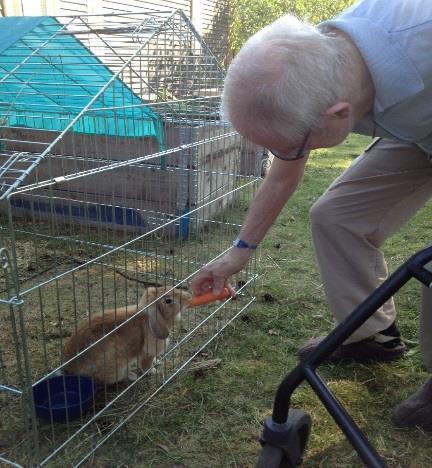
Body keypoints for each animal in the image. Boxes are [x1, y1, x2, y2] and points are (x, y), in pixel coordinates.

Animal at [62, 286, 191, 384]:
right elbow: (146, 364)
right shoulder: (147, 351)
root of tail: (68, 369)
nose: (188, 297)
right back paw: (131, 376)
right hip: (114, 366)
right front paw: (153, 372)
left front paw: (157, 362)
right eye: (168, 301)